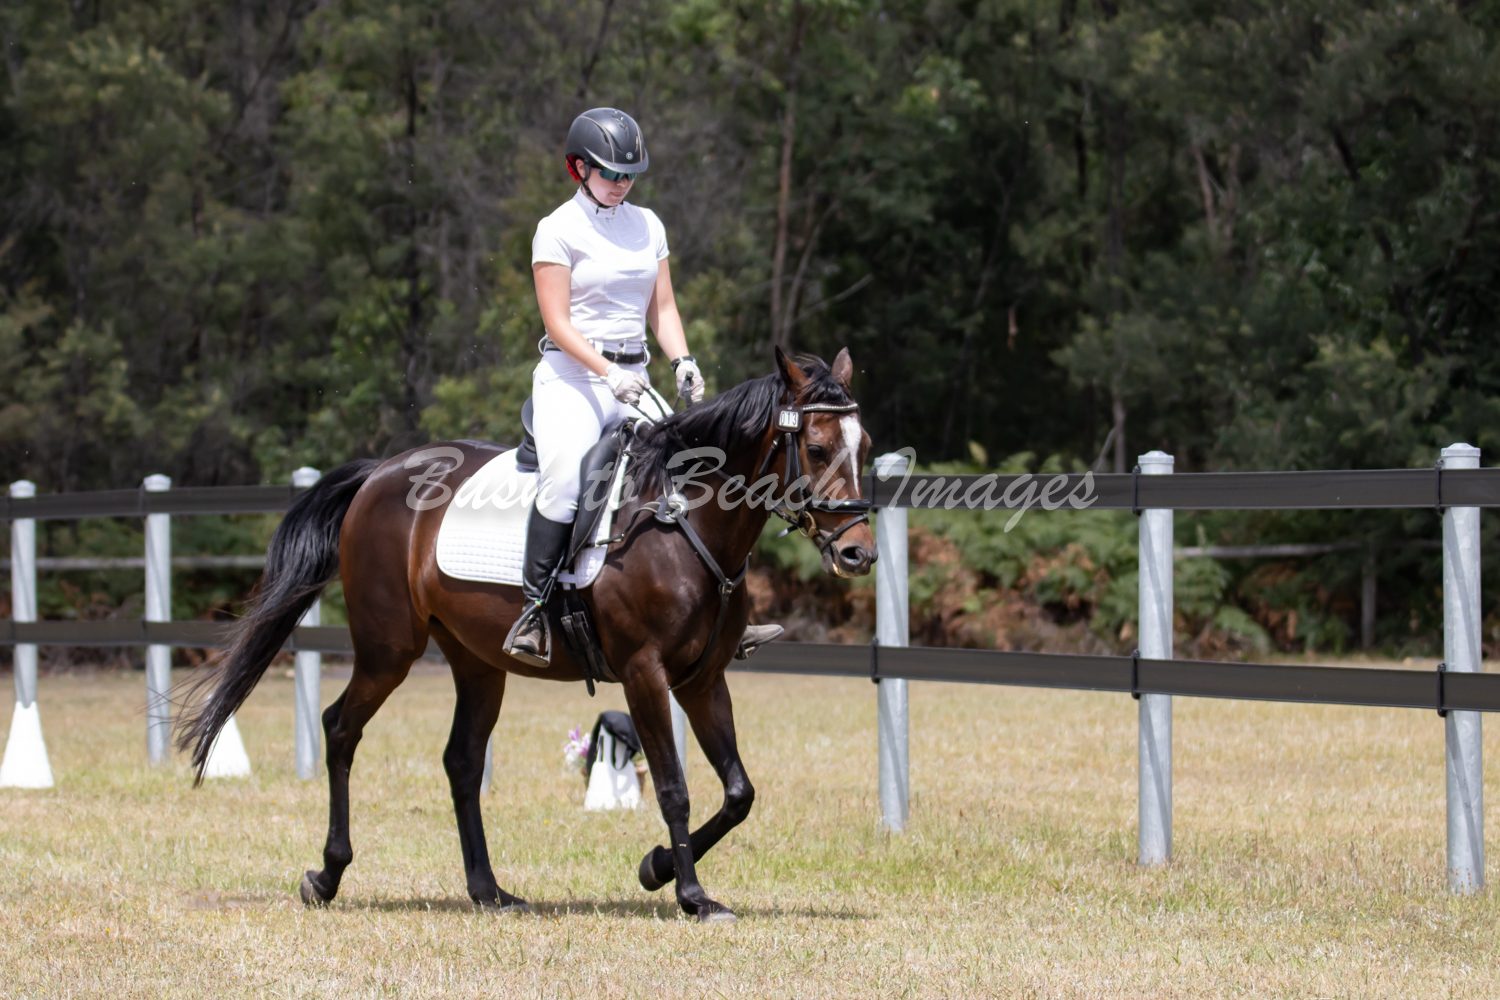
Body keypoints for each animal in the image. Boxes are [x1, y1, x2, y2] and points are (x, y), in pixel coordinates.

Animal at [177, 347, 876, 922]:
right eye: (816, 449)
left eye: (864, 445)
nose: (858, 554)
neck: (683, 521)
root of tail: (381, 472)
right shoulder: (644, 674)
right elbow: (673, 786)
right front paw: (691, 896)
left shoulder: (702, 680)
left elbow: (738, 792)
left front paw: (655, 868)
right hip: (388, 651)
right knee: (341, 729)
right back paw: (326, 876)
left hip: (477, 662)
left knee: (461, 759)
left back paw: (489, 891)